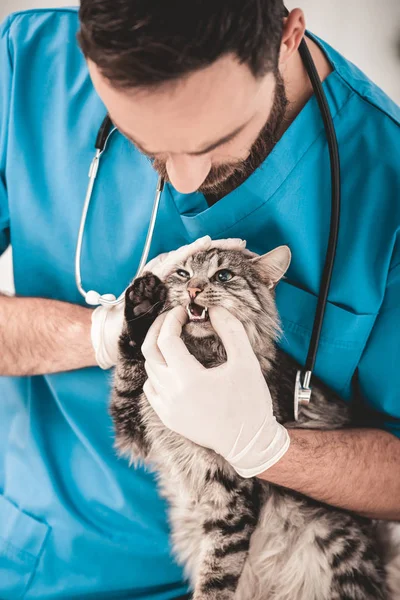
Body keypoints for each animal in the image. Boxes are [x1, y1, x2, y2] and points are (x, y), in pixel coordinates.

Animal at [111, 246, 392, 596]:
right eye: (183, 274)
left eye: (223, 275)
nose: (193, 289)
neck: (200, 357)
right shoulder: (132, 432)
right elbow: (130, 365)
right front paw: (142, 303)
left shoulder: (231, 498)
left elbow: (217, 575)